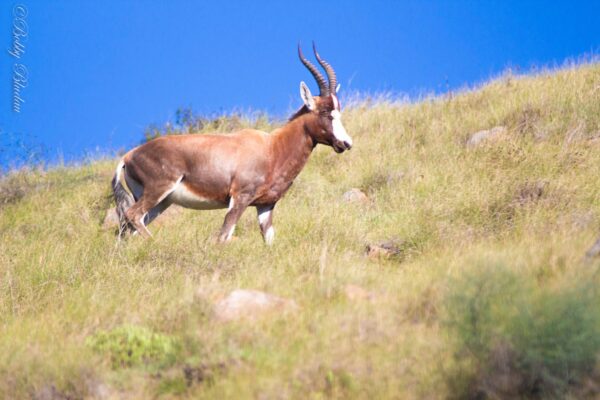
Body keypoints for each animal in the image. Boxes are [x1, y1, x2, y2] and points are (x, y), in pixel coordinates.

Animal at [111, 43, 352, 244]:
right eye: (325, 112)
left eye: (338, 111)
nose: (346, 143)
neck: (271, 148)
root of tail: (128, 156)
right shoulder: (239, 198)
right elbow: (224, 235)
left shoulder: (266, 205)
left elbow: (269, 241)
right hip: (158, 190)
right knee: (132, 216)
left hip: (161, 202)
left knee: (127, 228)